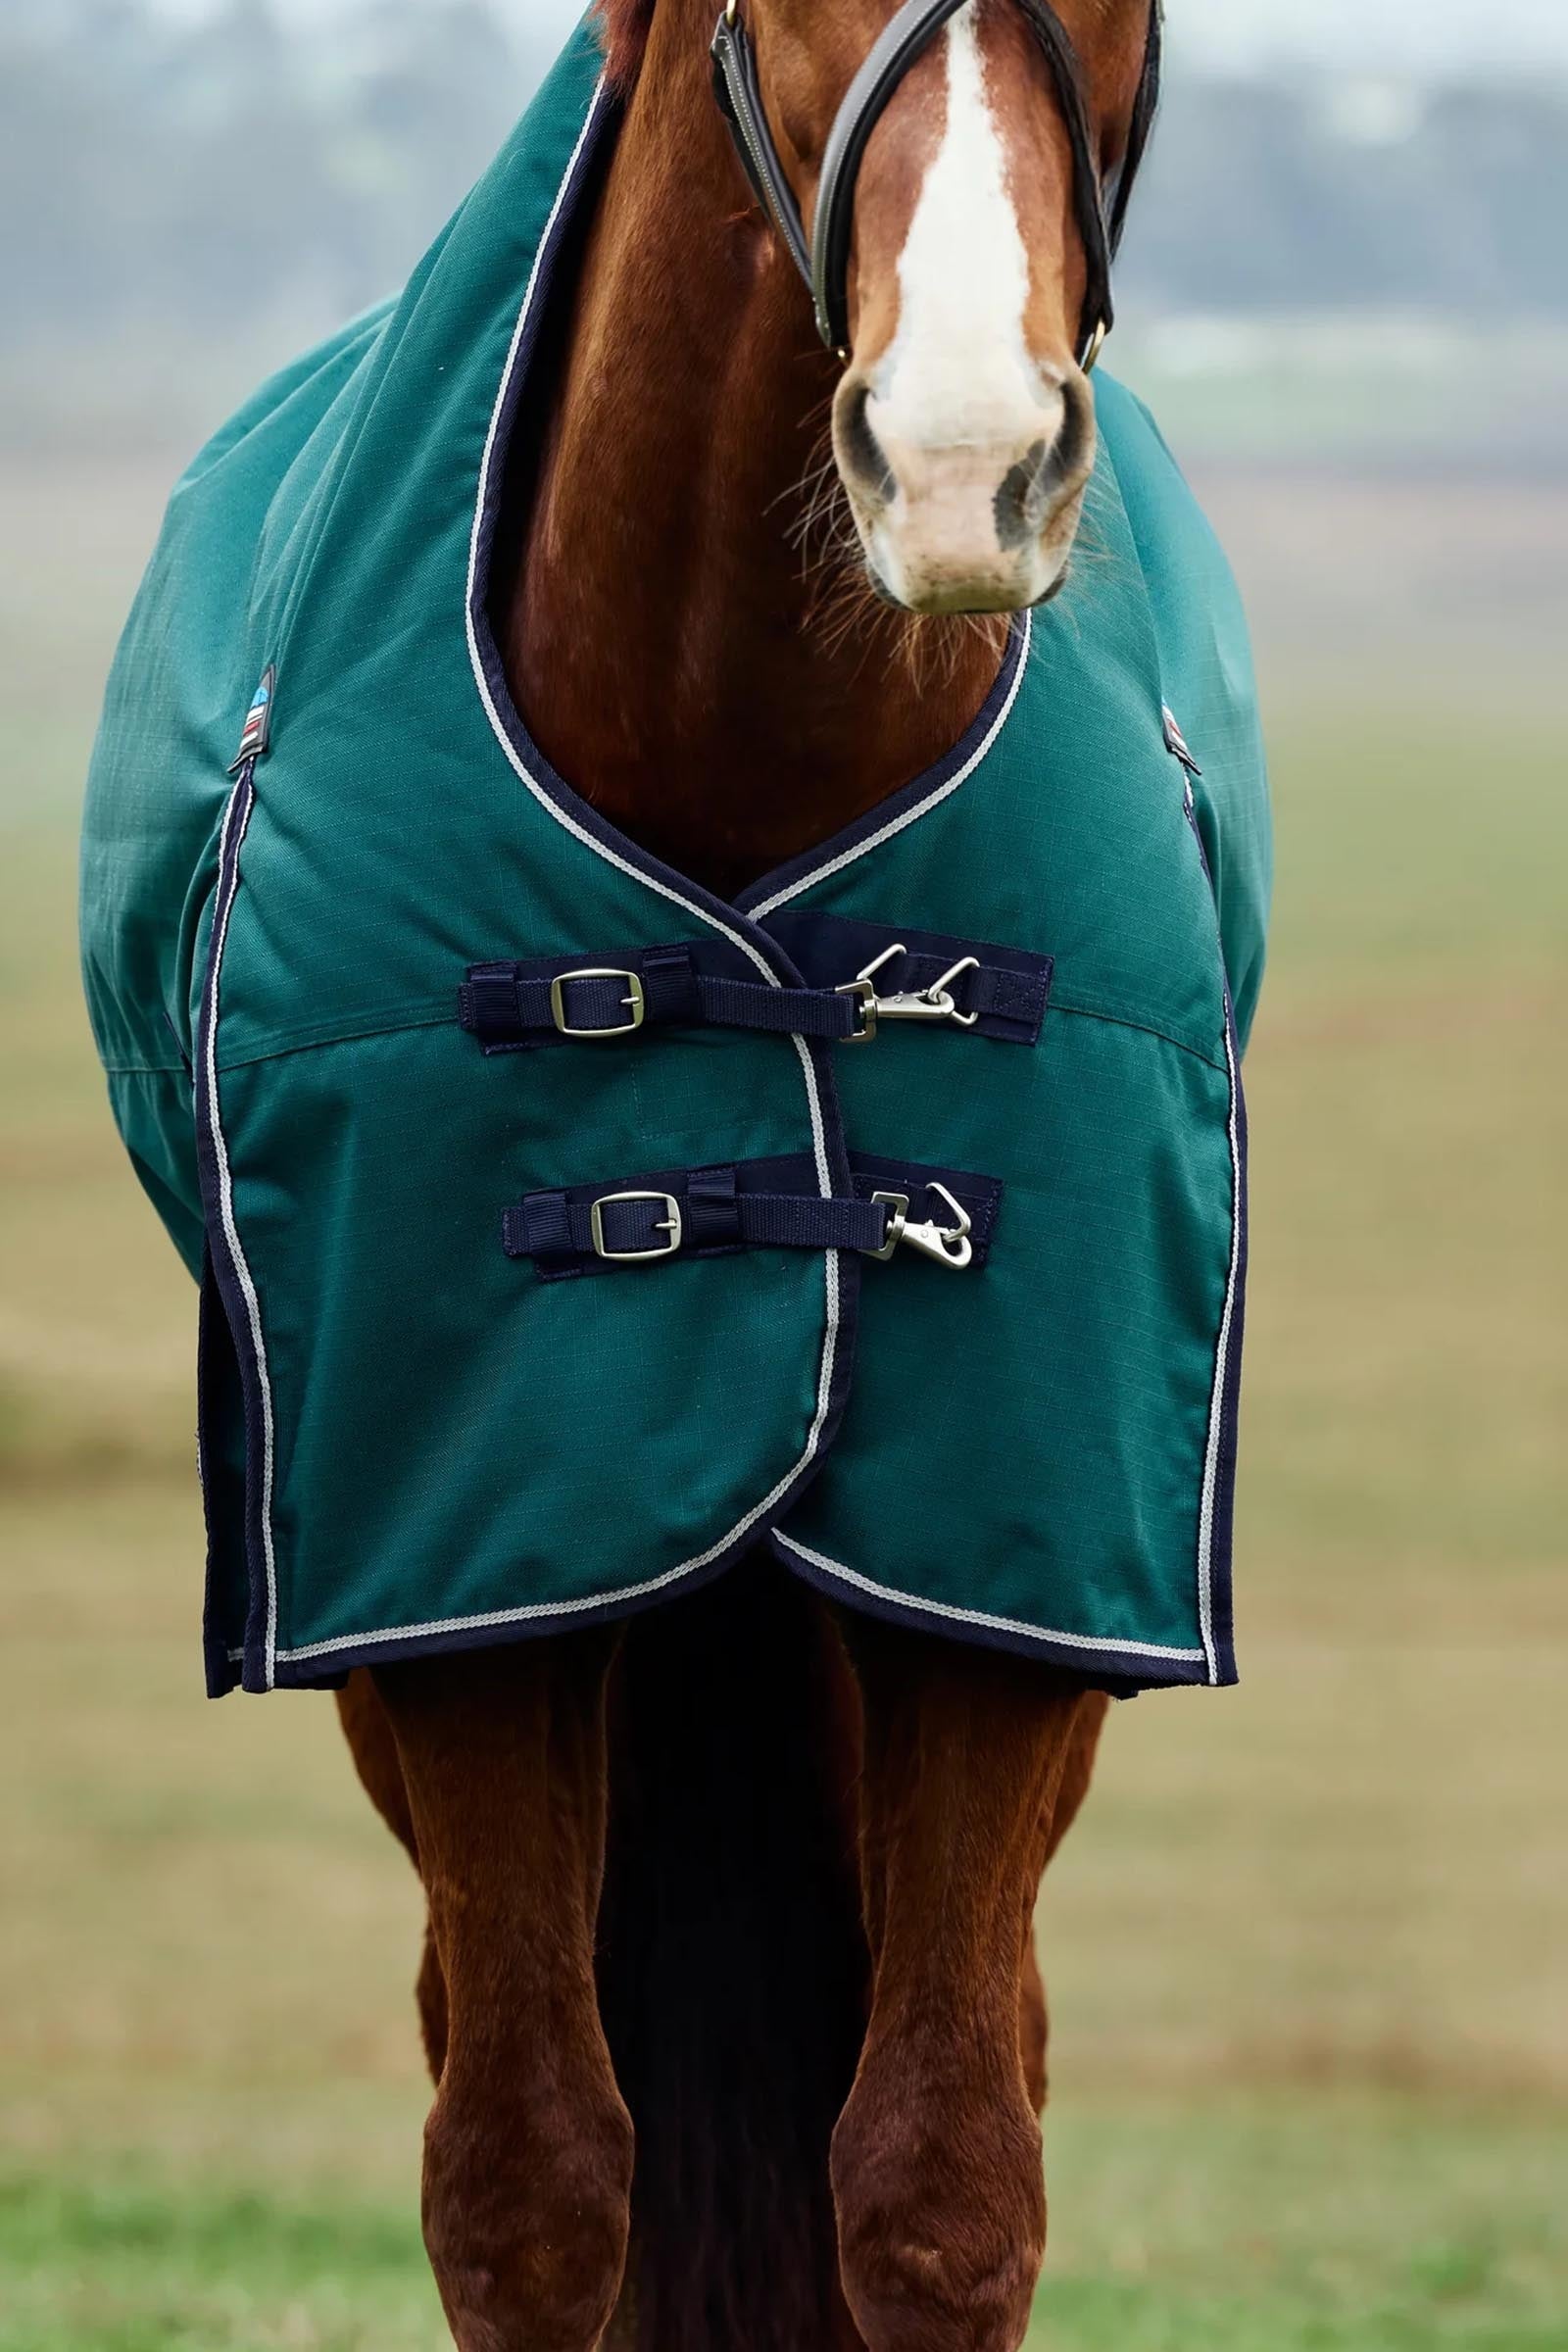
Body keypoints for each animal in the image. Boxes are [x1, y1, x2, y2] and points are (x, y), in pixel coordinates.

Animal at [341, 4, 1155, 2348]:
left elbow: (940, 2181)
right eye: (772, 14)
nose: (963, 462)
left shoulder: (1010, 1565)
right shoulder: (460, 1576)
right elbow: (526, 2186)